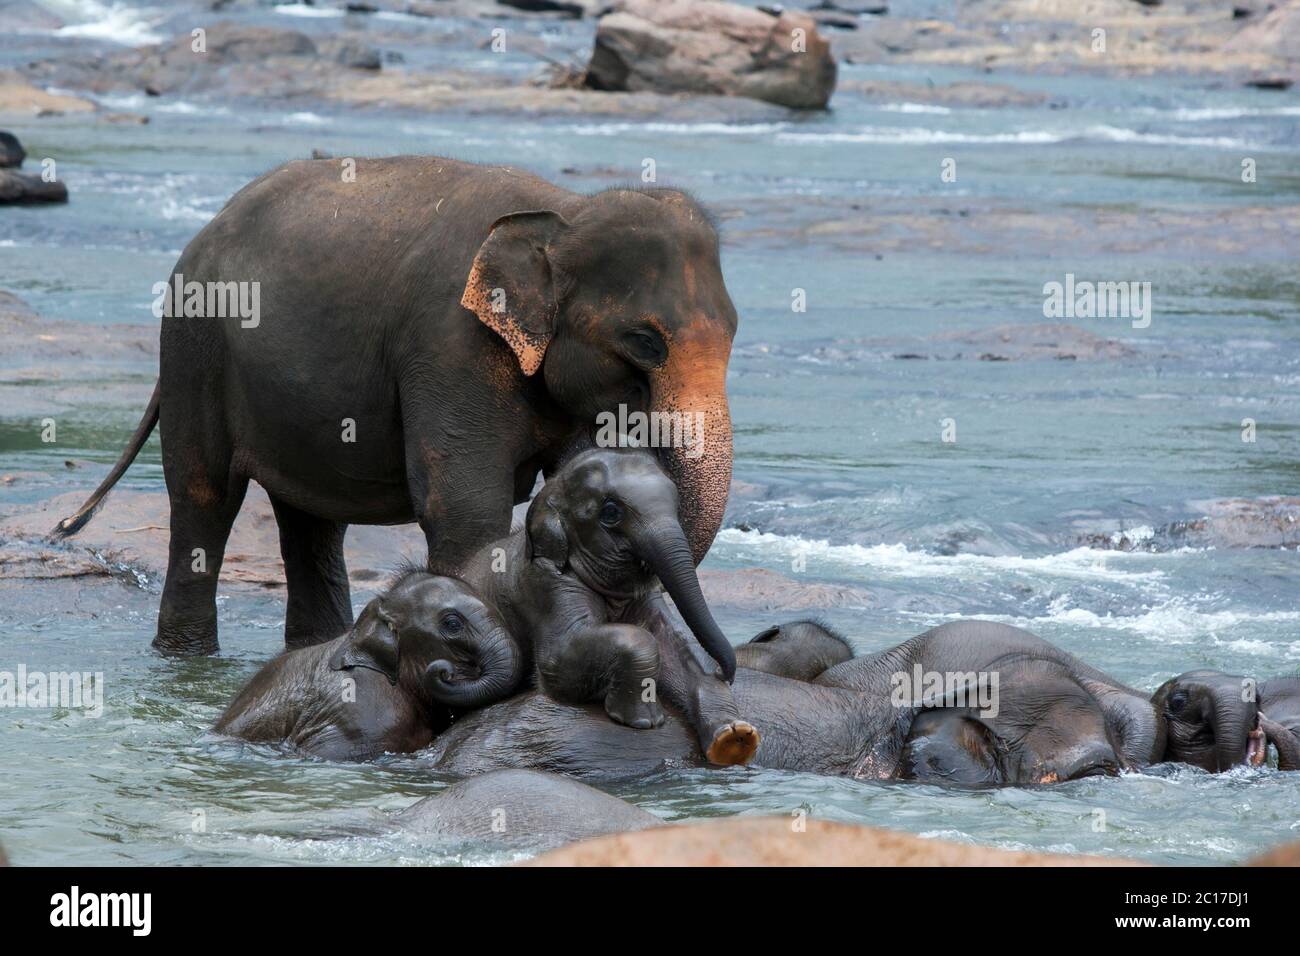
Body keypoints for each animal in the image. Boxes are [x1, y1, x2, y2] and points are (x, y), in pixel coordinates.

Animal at [50, 160, 738, 660]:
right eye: (645, 342)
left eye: (735, 332)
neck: (566, 211)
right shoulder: (451, 346)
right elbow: (465, 505)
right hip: (195, 349)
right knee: (204, 499)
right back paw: (186, 659)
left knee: (310, 524)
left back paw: (312, 649)